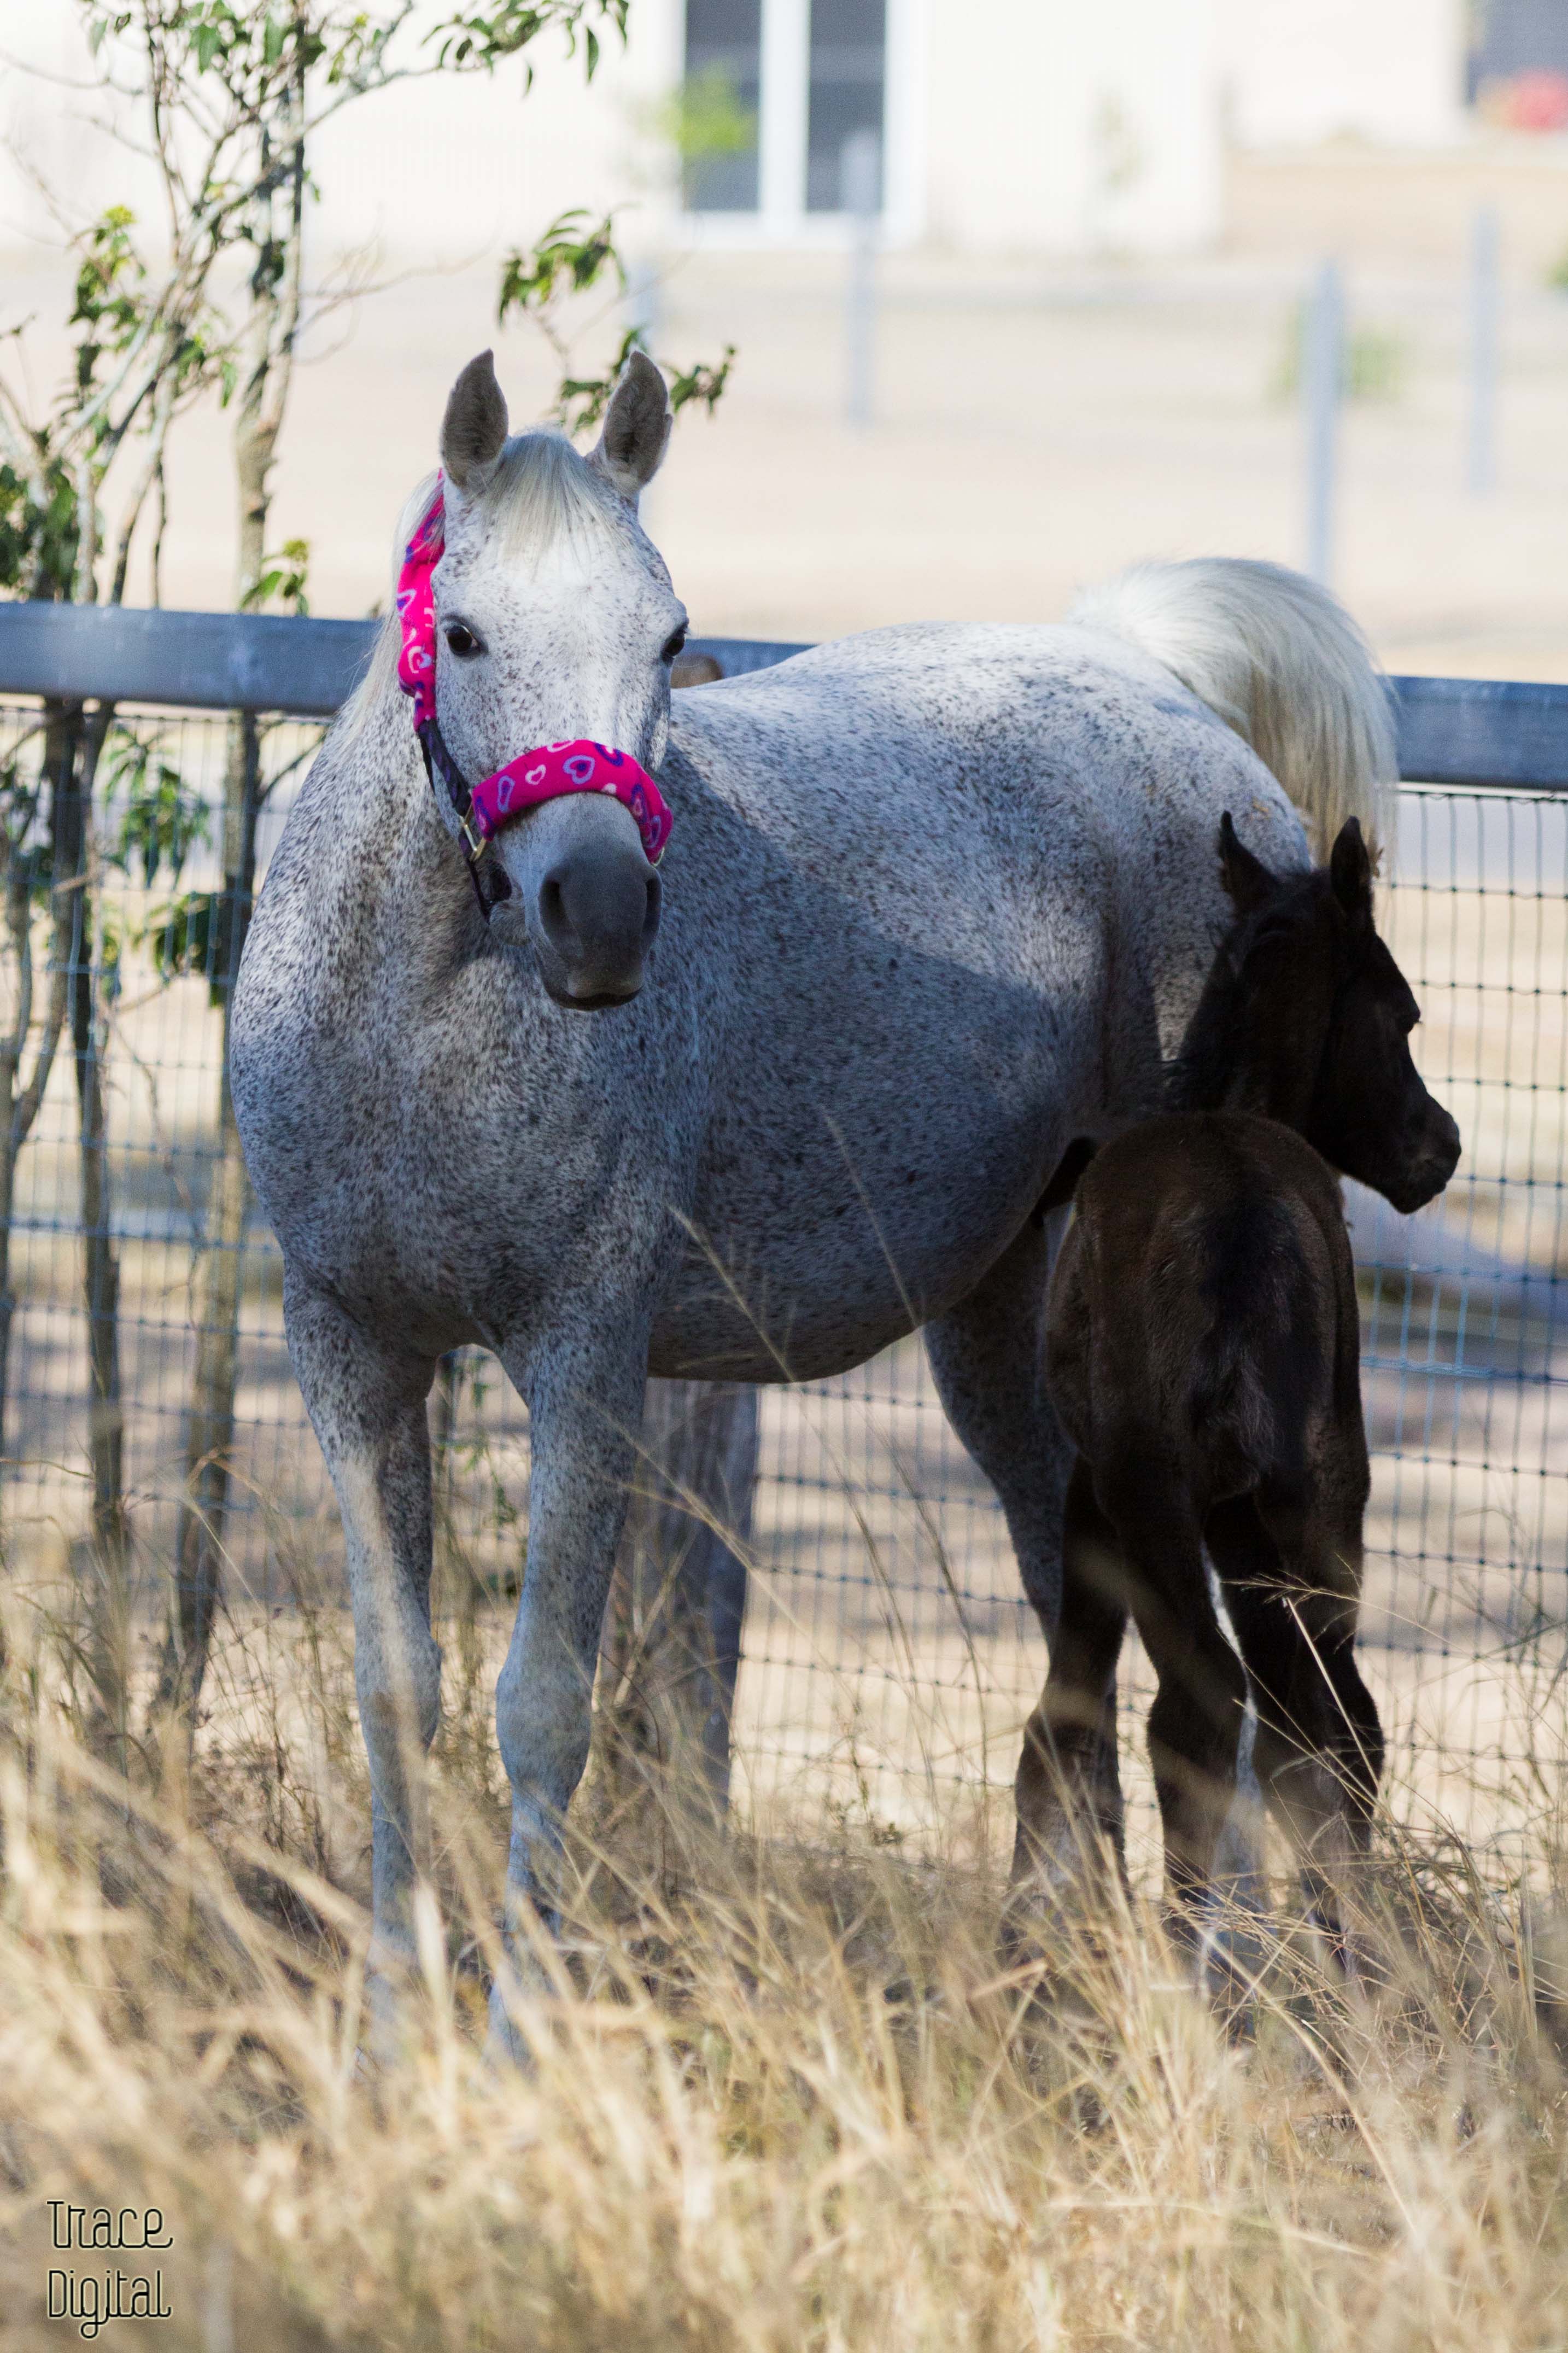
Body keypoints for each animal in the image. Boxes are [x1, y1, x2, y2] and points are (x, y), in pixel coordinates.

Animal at [232, 348, 1401, 2061]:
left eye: (667, 633)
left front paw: (515, 2034)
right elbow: (397, 1690)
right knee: (1084, 1611)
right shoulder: (352, 1350)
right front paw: (387, 2030)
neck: (414, 1014)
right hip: (1007, 1333)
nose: (600, 914)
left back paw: (1224, 1973)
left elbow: (542, 1701)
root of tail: (1141, 669)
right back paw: (1072, 1970)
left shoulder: (583, 1355)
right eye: (463, 634)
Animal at [1025, 819, 1467, 1958]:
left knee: (1199, 1705)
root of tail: (1238, 1233)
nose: (1441, 1147)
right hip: (1319, 1493)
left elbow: (1065, 1709)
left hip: (1153, 1490)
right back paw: (1340, 1958)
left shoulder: (1093, 1485)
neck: (1226, 1106)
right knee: (1333, 1716)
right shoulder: (1241, 1513)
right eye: (1405, 1013)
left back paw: (1188, 1961)